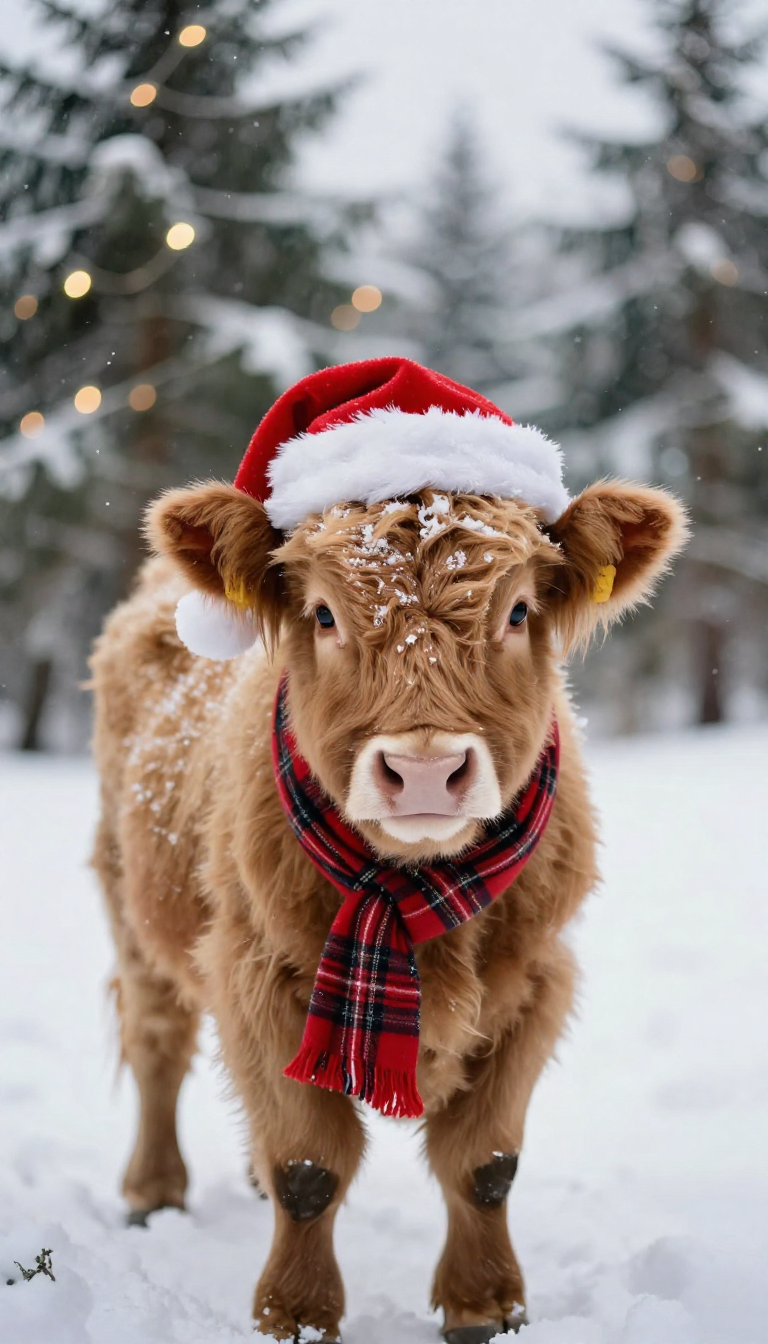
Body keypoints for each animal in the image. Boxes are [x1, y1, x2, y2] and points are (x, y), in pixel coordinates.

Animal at [90, 359, 686, 1342]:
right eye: (324, 615)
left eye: (518, 610)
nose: (426, 769)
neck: (417, 898)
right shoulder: (257, 971)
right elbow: (309, 1166)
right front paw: (295, 1315)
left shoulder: (537, 979)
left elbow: (484, 1162)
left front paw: (486, 1304)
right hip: (130, 904)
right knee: (156, 1043)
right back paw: (151, 1192)